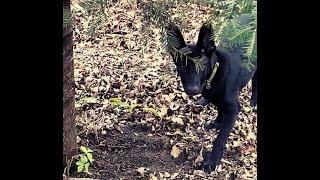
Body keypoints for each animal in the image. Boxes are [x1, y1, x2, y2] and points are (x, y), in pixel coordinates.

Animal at [166, 14, 256, 172]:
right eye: (182, 67)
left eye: (202, 66)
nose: (192, 89)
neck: (214, 76)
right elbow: (219, 109)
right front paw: (217, 122)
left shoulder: (233, 110)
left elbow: (219, 140)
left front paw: (212, 162)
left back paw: (253, 102)